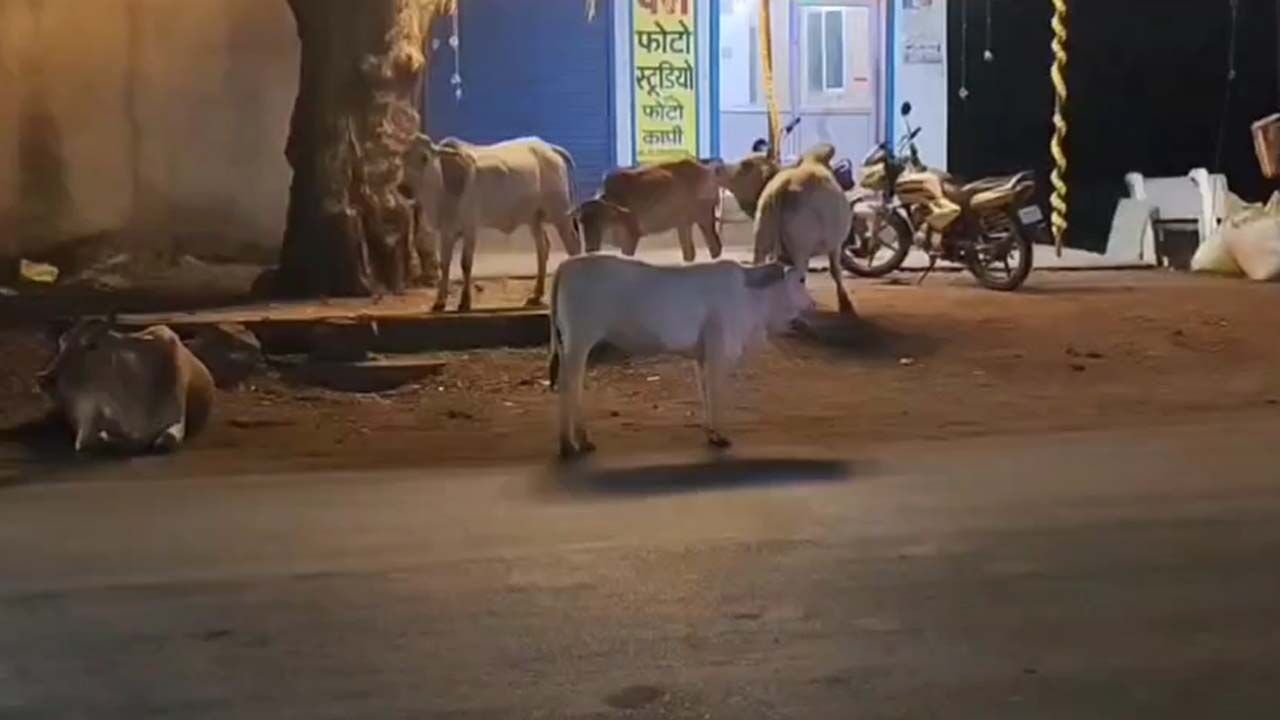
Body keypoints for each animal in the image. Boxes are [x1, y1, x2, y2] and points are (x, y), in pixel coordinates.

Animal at [37, 319, 215, 454]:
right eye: (61, 343)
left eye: (91, 345)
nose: (44, 378)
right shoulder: (88, 417)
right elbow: (91, 440)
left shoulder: (177, 418)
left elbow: (166, 441)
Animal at [404, 134, 582, 312]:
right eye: (404, 157)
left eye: (425, 158)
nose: (403, 187)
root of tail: (550, 148)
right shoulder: (446, 232)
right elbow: (445, 264)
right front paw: (439, 302)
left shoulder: (470, 228)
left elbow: (465, 264)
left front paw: (465, 302)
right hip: (534, 218)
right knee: (543, 248)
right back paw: (536, 295)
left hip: (560, 214)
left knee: (573, 246)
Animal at [548, 254, 814, 459]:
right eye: (801, 279)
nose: (812, 303)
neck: (752, 299)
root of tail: (566, 264)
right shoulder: (718, 350)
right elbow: (716, 394)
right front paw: (721, 435)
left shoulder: (702, 356)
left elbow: (705, 393)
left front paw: (711, 433)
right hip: (580, 338)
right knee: (570, 384)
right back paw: (570, 444)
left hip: (568, 343)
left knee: (570, 383)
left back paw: (576, 441)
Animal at [573, 158, 726, 262]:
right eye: (581, 221)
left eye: (601, 220)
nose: (590, 248)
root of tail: (707, 171)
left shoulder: (631, 236)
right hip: (684, 223)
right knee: (689, 251)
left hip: (705, 218)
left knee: (715, 247)